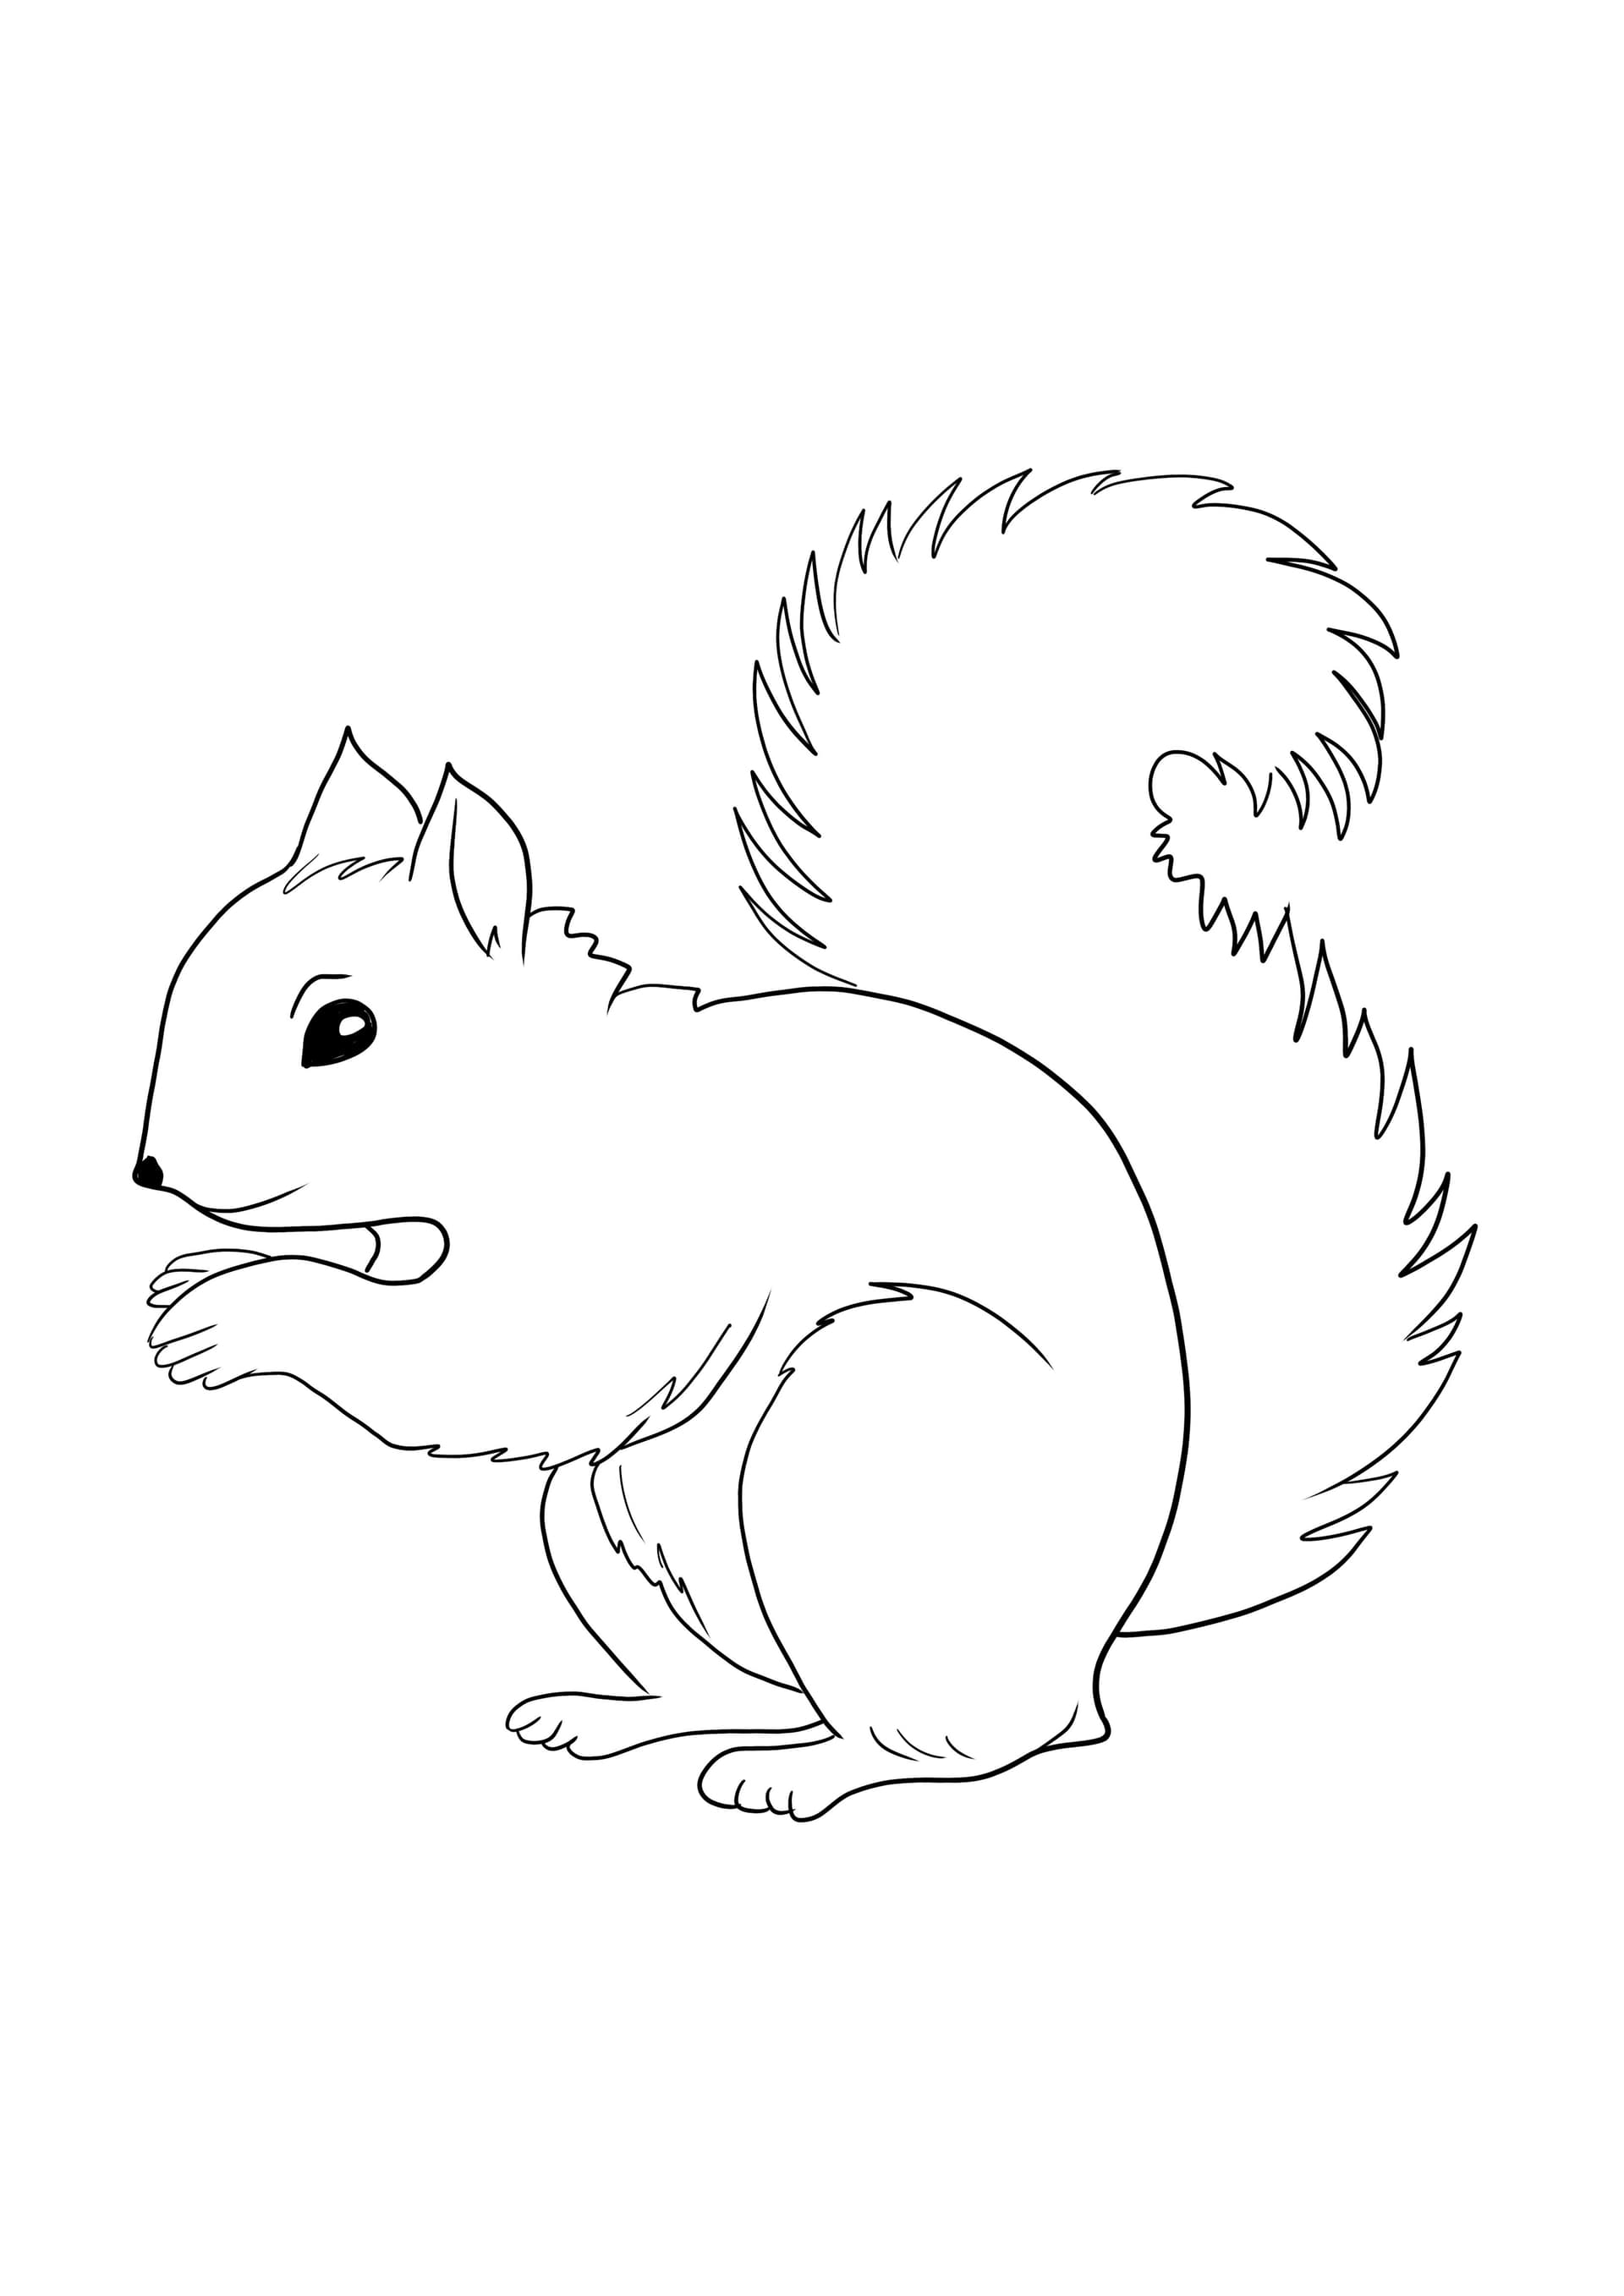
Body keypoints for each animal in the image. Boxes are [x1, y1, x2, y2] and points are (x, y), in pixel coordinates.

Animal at [136, 468, 1473, 1820]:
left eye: (342, 1029)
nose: (151, 1173)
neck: (539, 1113)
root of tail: (1103, 1627)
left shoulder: (631, 1254)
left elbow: (493, 1357)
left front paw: (235, 1315)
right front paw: (204, 1276)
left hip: (866, 1433)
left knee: (976, 1737)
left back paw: (807, 1773)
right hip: (600, 1521)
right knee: (744, 1687)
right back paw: (619, 1717)